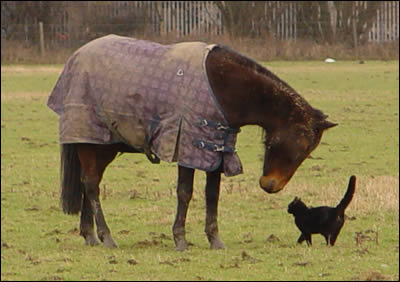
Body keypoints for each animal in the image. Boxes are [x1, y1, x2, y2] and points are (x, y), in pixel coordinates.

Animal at [47, 35, 338, 251]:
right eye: (284, 144)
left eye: (306, 152)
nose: (270, 185)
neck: (224, 87)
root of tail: (76, 57)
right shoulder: (187, 145)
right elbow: (185, 193)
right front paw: (180, 239)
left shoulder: (216, 151)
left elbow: (212, 195)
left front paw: (215, 240)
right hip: (90, 142)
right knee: (91, 185)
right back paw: (106, 237)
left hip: (102, 146)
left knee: (89, 183)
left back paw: (90, 235)